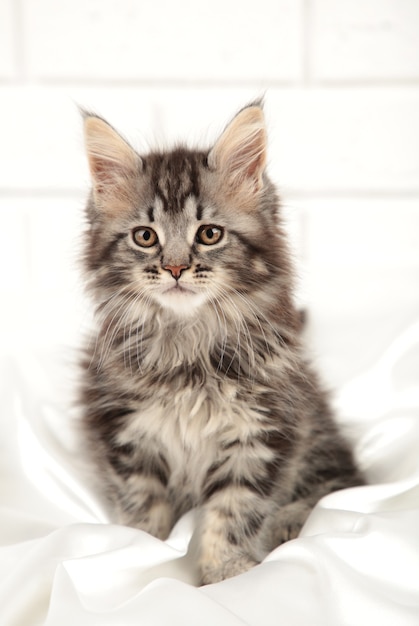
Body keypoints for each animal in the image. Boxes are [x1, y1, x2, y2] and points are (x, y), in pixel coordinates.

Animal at [79, 100, 364, 584]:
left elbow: (234, 511)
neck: (188, 343)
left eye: (209, 233)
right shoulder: (125, 429)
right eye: (145, 236)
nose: (175, 268)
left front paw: (227, 573)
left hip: (317, 433)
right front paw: (142, 551)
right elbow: (143, 503)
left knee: (341, 483)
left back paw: (290, 520)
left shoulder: (262, 432)